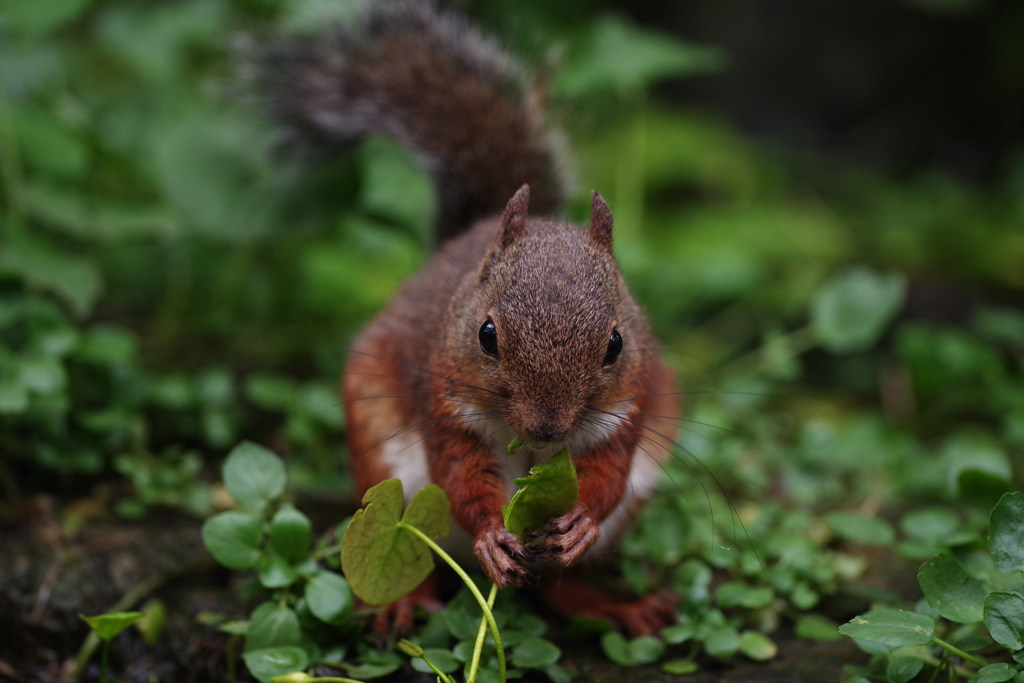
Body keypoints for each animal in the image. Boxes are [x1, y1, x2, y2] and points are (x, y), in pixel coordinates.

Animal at [268, 2, 679, 638]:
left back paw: (615, 605)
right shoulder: (445, 402)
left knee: (561, 589)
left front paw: (580, 520)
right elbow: (462, 476)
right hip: (389, 479)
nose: (546, 430)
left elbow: (607, 475)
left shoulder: (628, 409)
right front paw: (490, 536)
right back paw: (401, 604)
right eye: (486, 335)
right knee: (409, 551)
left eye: (615, 343)